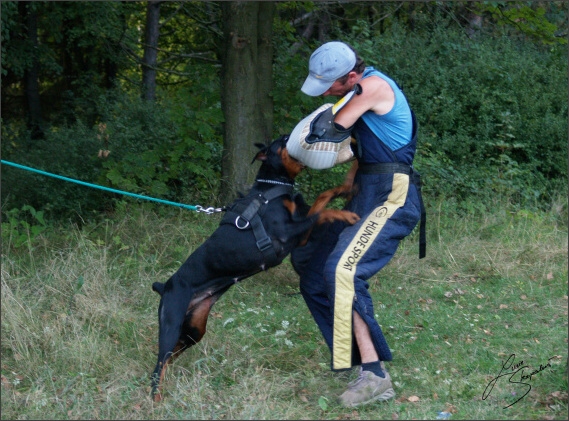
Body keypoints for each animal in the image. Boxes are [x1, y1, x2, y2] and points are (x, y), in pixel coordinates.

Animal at [149, 135, 358, 400]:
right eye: (285, 140)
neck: (270, 188)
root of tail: (165, 285)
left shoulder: (299, 232)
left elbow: (323, 197)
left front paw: (348, 182)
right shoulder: (287, 235)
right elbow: (321, 213)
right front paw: (346, 215)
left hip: (195, 328)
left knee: (170, 356)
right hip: (172, 321)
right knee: (159, 364)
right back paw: (156, 399)